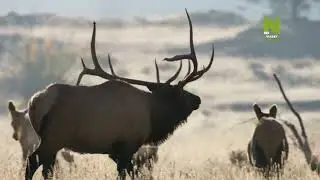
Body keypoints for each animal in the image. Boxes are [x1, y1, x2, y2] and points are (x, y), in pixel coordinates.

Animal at [10, 8, 215, 180]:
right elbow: (127, 174)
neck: (152, 116)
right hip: (54, 137)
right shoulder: (127, 145)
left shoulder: (114, 152)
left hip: (49, 140)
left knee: (46, 168)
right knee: (32, 162)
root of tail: (34, 103)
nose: (197, 99)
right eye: (181, 92)